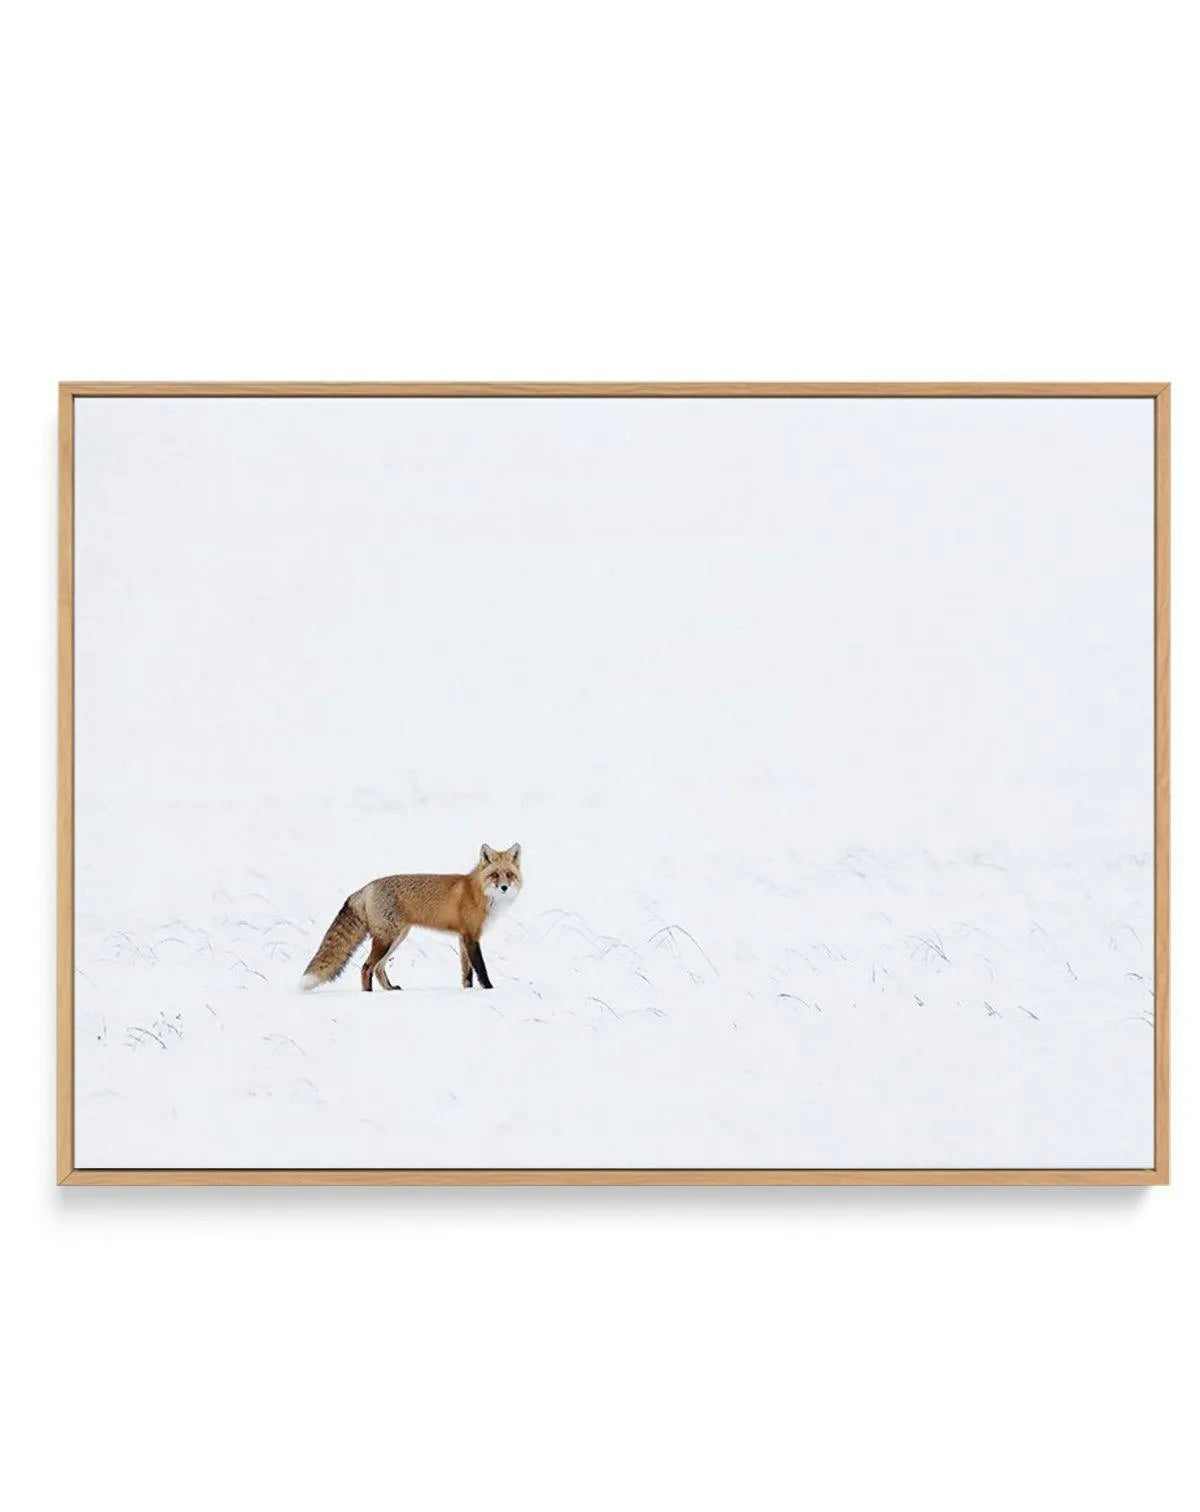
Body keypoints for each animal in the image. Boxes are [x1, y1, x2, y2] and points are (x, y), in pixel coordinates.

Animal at [300, 843, 522, 993]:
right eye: (495, 875)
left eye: (509, 875)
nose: (504, 887)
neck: (478, 892)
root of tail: (366, 887)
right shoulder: (471, 936)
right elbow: (481, 969)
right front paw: (489, 990)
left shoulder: (462, 937)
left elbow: (466, 973)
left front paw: (468, 991)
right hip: (387, 939)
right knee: (366, 967)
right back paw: (369, 995)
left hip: (397, 938)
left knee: (378, 968)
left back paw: (390, 989)